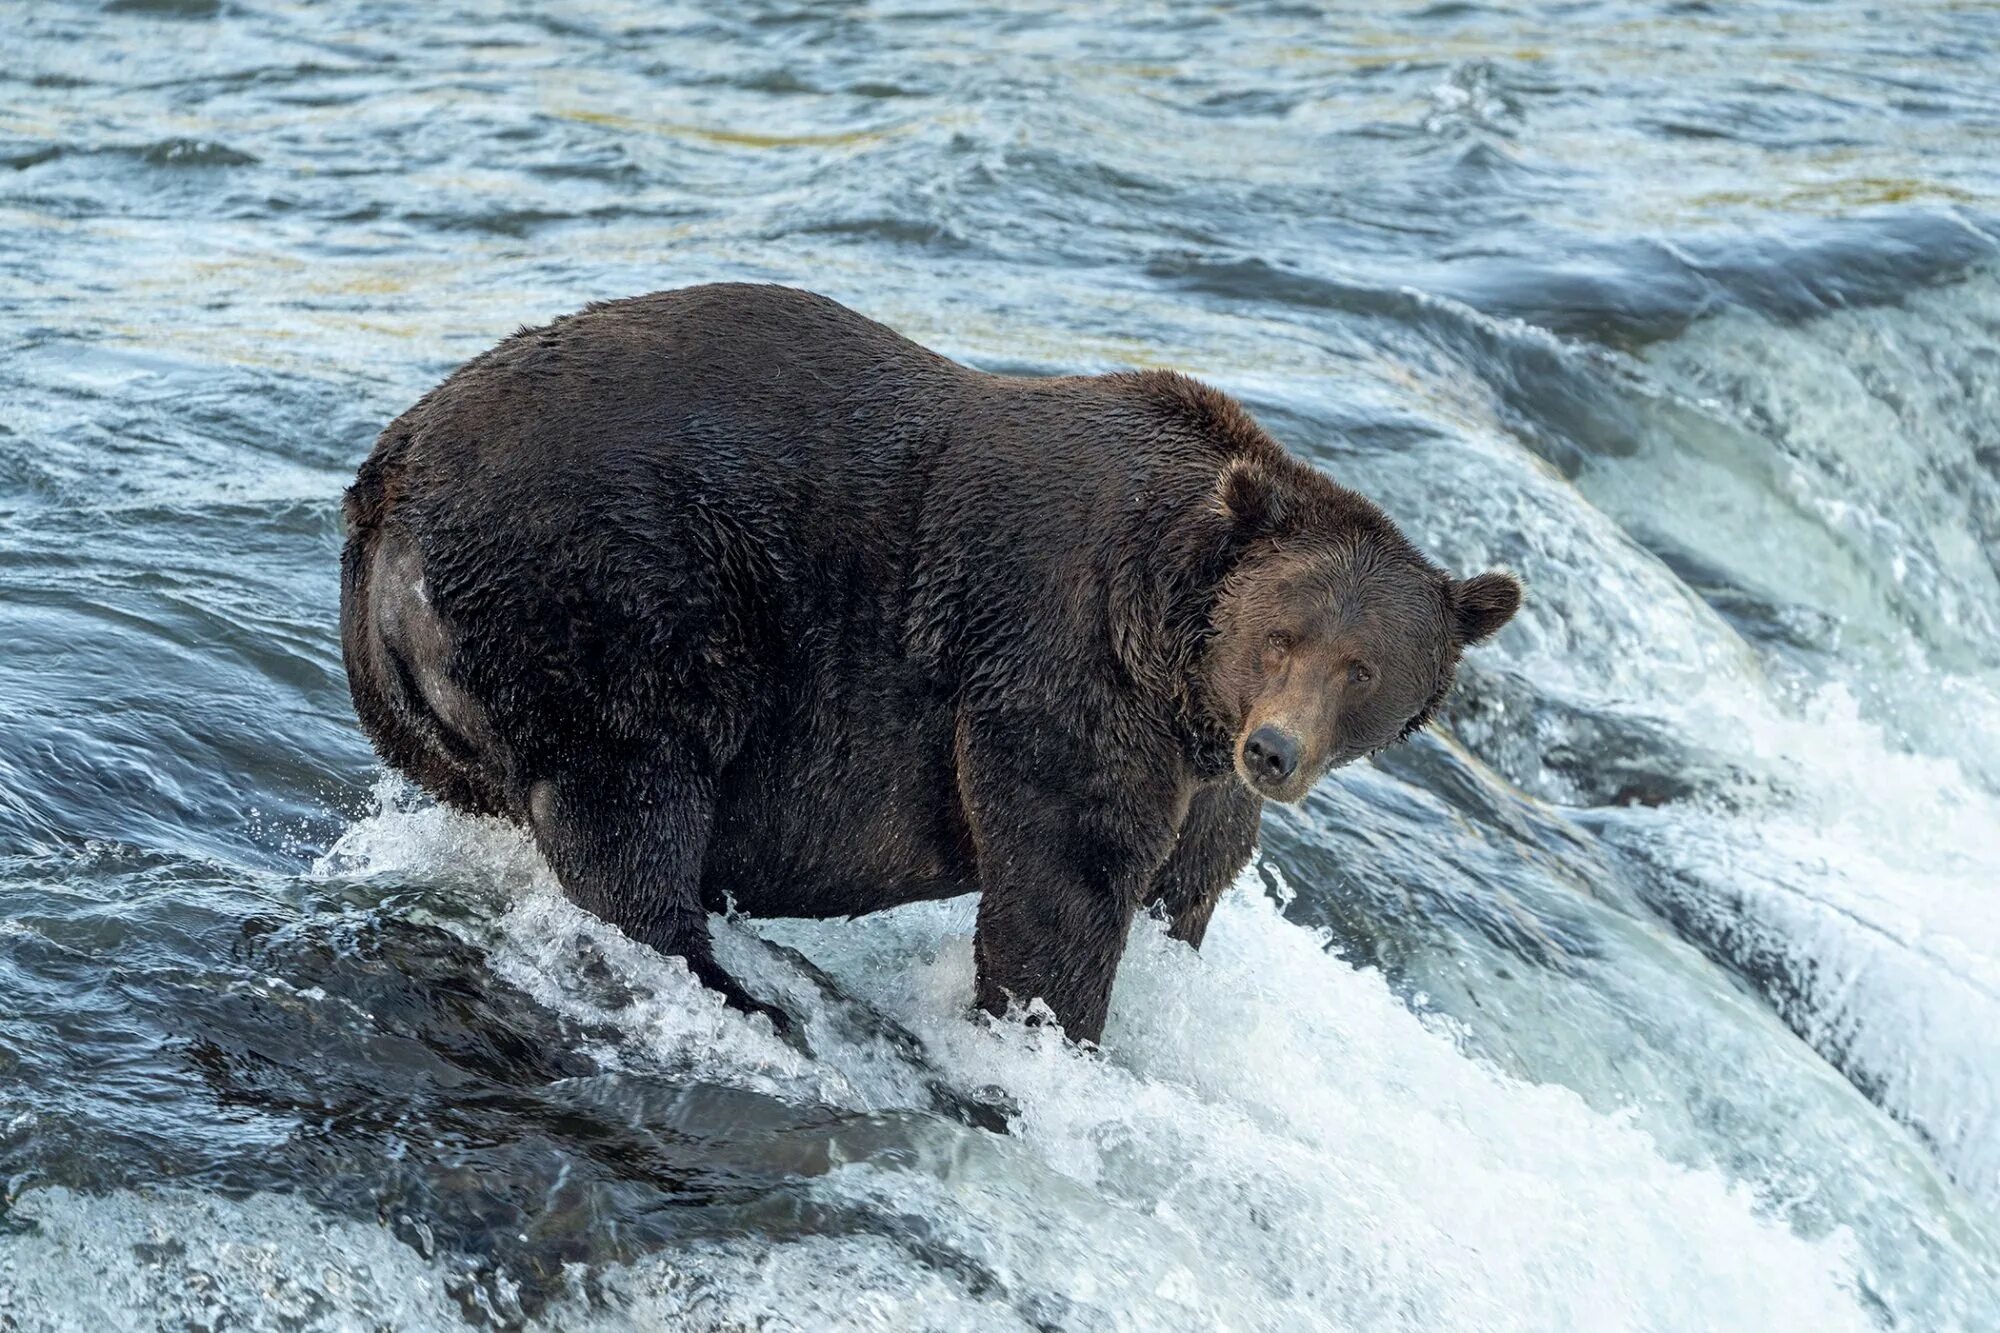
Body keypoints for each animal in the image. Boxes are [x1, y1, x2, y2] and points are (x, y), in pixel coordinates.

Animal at [340, 286, 1512, 1040]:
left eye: (1363, 668)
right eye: (1282, 635)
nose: (1275, 749)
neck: (1174, 654)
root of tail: (389, 484)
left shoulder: (1195, 763)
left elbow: (1188, 883)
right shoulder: (1056, 665)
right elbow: (1062, 878)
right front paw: (1045, 1035)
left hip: (430, 690)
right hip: (605, 595)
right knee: (629, 800)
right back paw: (732, 985)